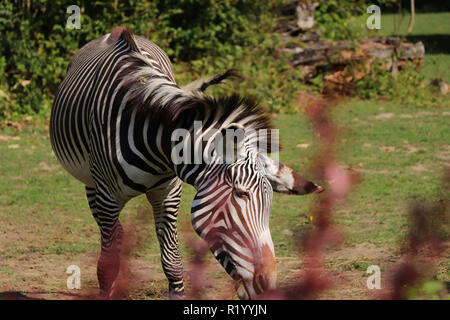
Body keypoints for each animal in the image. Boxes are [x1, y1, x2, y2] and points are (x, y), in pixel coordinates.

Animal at [50, 27, 324, 300]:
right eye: (241, 193)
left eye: (269, 201)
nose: (268, 285)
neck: (154, 139)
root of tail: (113, 32)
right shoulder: (107, 196)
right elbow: (106, 267)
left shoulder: (168, 193)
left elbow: (172, 263)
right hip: (91, 182)